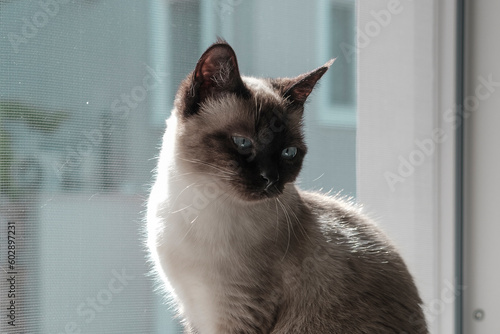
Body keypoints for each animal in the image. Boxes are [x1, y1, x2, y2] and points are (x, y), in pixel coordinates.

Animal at [146, 39, 428, 334]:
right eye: (243, 142)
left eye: (288, 153)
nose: (271, 179)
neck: (197, 207)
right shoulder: (193, 312)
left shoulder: (237, 312)